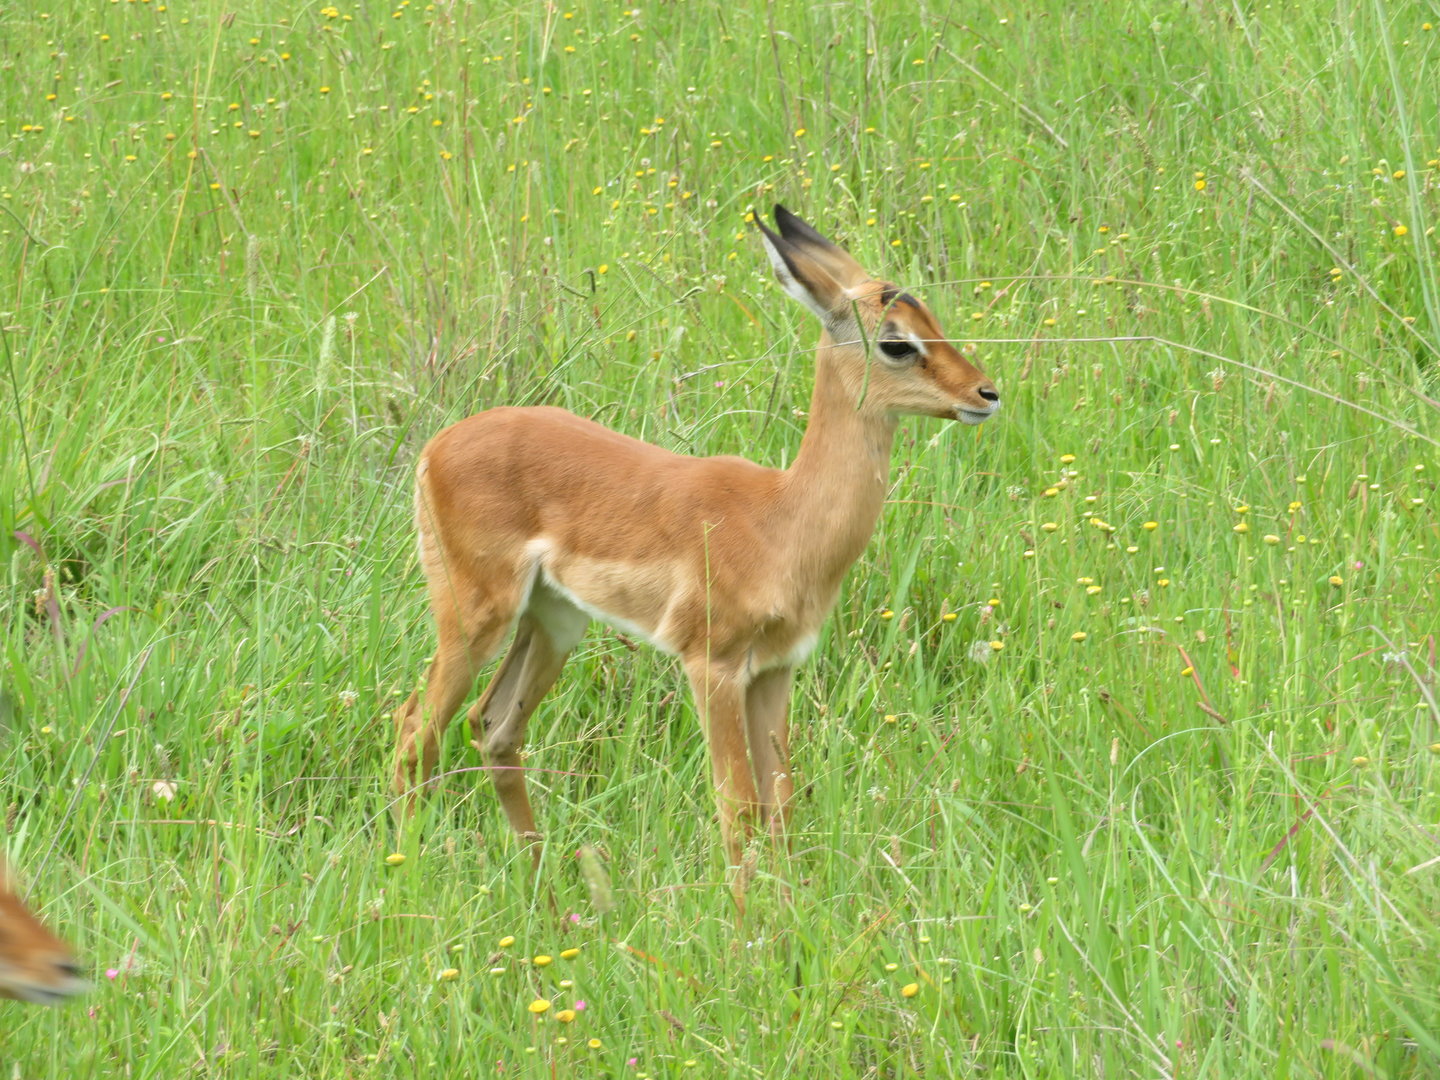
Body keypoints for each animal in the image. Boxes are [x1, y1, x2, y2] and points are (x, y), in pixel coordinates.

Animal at [393, 205, 999, 901]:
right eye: (896, 341)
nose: (986, 394)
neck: (782, 518)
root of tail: (435, 448)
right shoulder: (711, 666)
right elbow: (737, 807)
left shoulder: (774, 670)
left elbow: (781, 806)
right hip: (476, 620)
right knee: (414, 731)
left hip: (554, 622)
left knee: (494, 730)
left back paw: (550, 899)